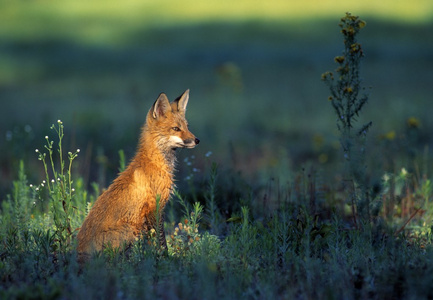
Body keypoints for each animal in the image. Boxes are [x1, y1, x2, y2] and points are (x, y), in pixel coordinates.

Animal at [77, 89, 198, 255]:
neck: (156, 163)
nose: (197, 140)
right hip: (130, 230)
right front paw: (165, 257)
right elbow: (161, 240)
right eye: (176, 129)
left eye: (187, 126)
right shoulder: (155, 206)